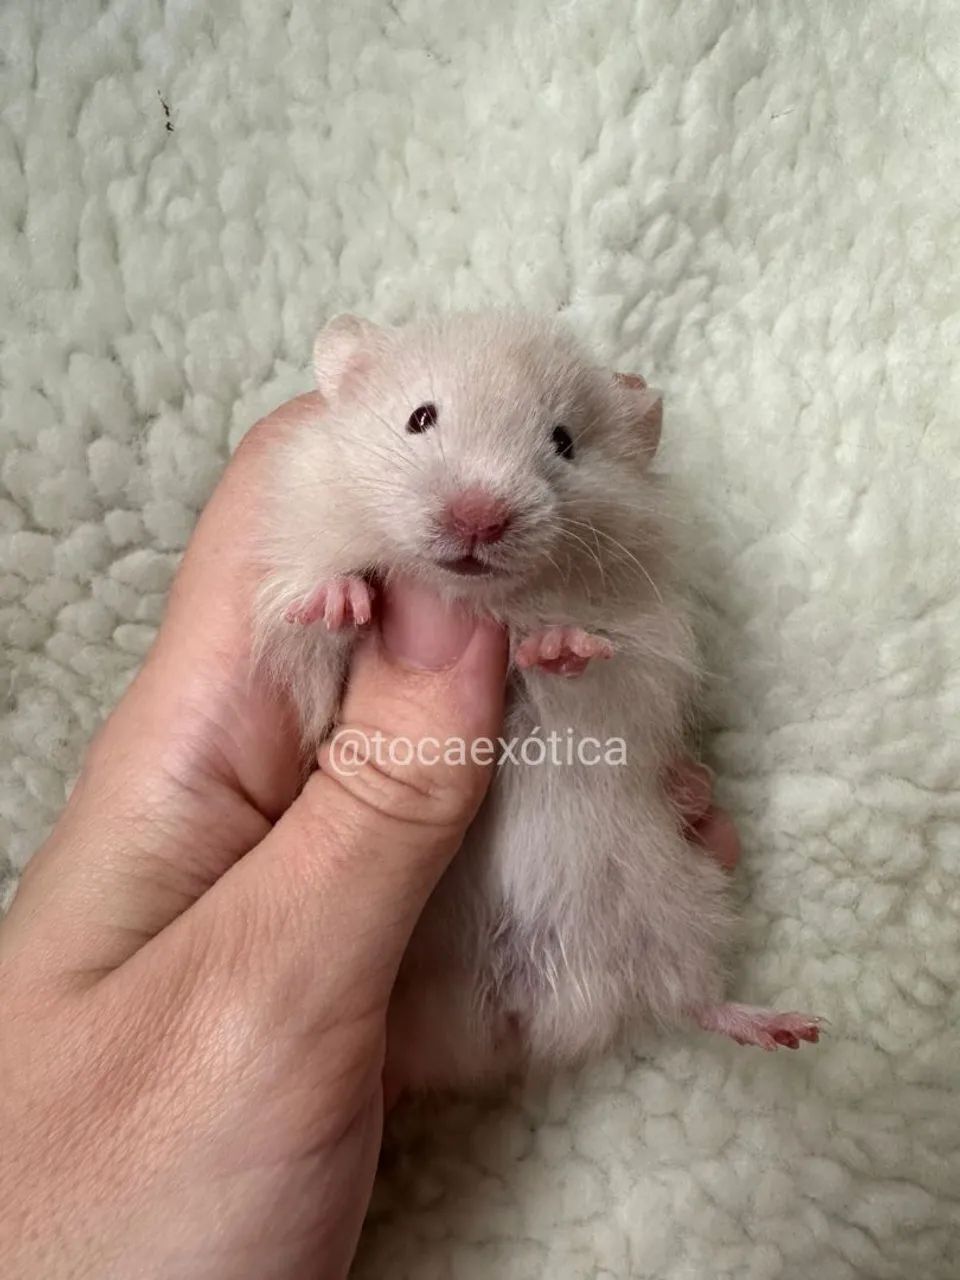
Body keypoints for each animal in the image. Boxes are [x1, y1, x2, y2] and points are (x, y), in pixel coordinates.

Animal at [253, 310, 821, 1094]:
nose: (479, 519)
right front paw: (344, 599)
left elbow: (598, 674)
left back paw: (789, 1029)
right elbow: (318, 630)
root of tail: (521, 1027)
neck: (481, 598)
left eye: (565, 441)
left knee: (694, 998)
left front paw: (556, 645)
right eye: (419, 417)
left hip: (674, 899)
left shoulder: (645, 658)